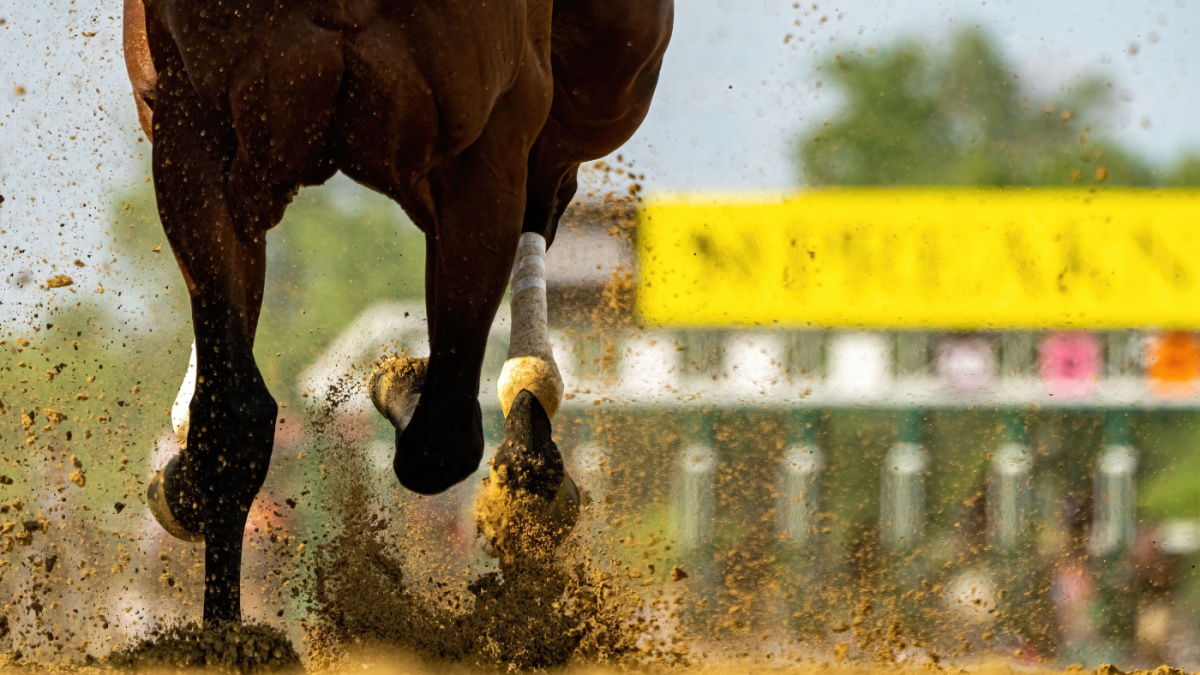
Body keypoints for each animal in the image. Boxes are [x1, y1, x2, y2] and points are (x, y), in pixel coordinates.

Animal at [122, 0, 672, 625]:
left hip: (611, 72)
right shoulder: (196, 125)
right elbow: (234, 419)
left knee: (549, 187)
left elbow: (443, 439)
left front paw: (405, 384)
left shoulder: (488, 143)